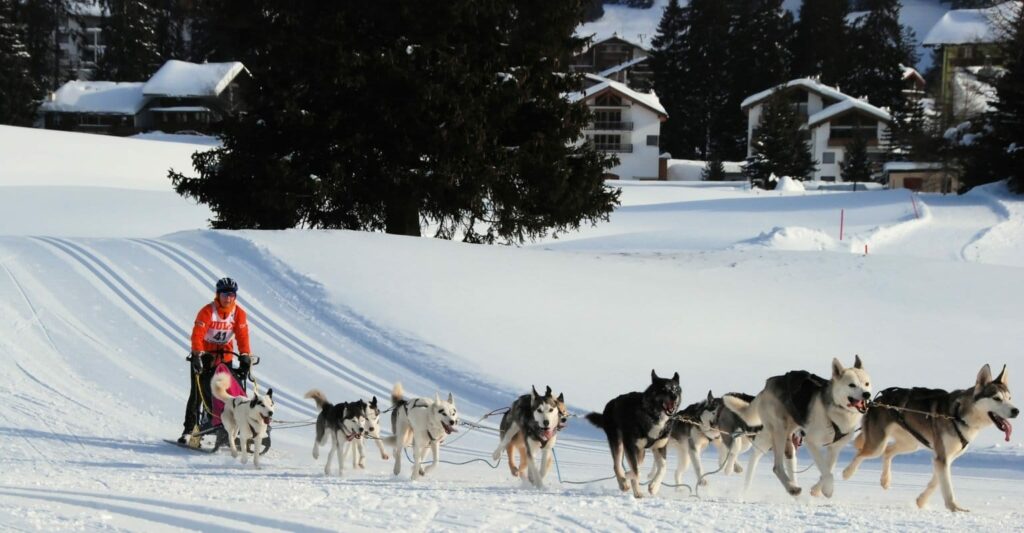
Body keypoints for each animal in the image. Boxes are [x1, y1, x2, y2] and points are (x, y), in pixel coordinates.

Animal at [585, 370, 679, 499]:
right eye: (663, 388)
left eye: (675, 389)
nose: (674, 397)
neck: (653, 417)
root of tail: (611, 403)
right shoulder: (630, 446)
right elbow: (636, 471)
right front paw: (628, 477)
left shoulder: (659, 447)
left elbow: (663, 468)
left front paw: (654, 487)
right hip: (619, 443)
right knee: (617, 465)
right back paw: (624, 483)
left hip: (640, 451)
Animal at [724, 356, 868, 497]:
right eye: (852, 385)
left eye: (867, 383)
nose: (867, 394)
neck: (836, 409)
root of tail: (768, 385)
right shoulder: (811, 442)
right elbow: (827, 472)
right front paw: (827, 489)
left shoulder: (835, 448)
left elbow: (828, 470)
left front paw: (818, 489)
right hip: (779, 432)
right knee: (776, 466)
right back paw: (791, 488)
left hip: (784, 435)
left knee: (773, 456)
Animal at [839, 364, 1015, 509]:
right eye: (997, 398)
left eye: (1009, 398)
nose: (1016, 411)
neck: (958, 415)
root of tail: (876, 399)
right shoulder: (942, 457)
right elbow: (947, 487)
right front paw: (954, 508)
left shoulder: (945, 458)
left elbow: (936, 482)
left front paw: (921, 501)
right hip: (878, 444)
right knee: (861, 453)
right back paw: (848, 472)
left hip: (911, 443)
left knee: (888, 451)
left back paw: (885, 480)